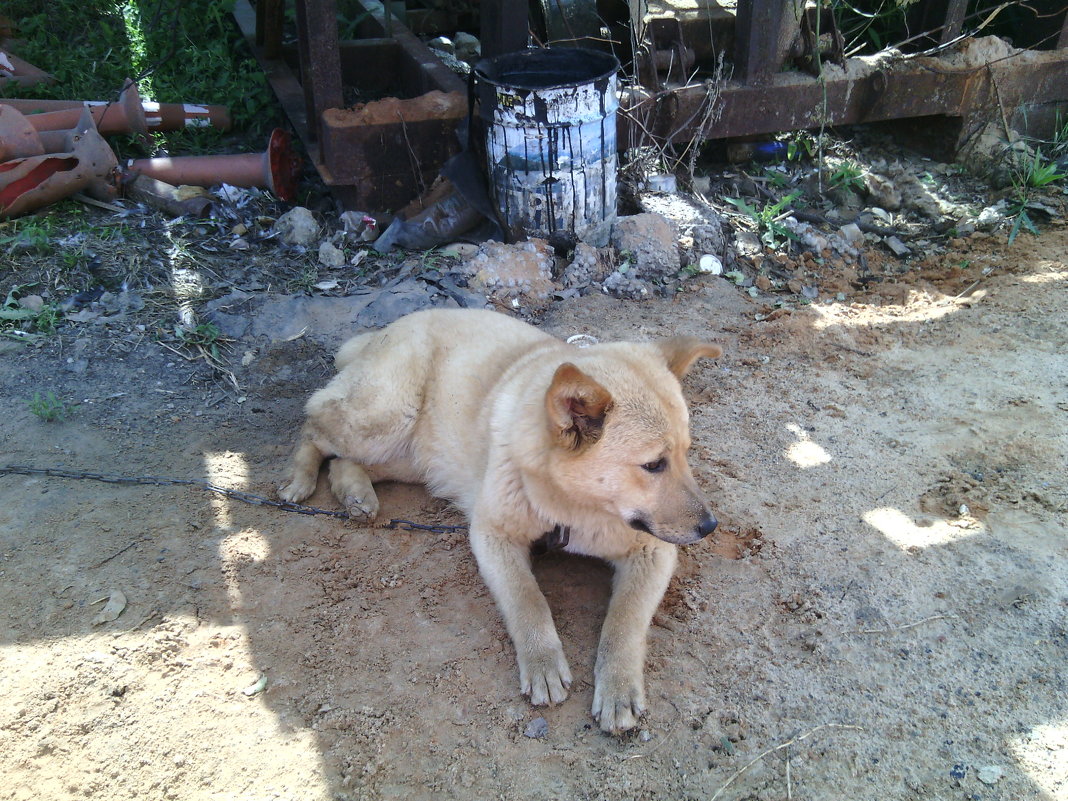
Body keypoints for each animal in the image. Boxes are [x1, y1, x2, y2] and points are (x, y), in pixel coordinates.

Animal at [279, 309, 721, 739]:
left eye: (685, 453)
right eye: (654, 465)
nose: (710, 526)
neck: (573, 509)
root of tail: (384, 331)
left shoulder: (652, 550)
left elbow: (624, 623)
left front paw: (617, 686)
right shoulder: (492, 535)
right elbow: (528, 599)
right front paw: (543, 662)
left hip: (414, 458)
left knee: (343, 461)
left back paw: (355, 493)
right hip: (384, 420)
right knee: (314, 427)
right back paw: (298, 478)